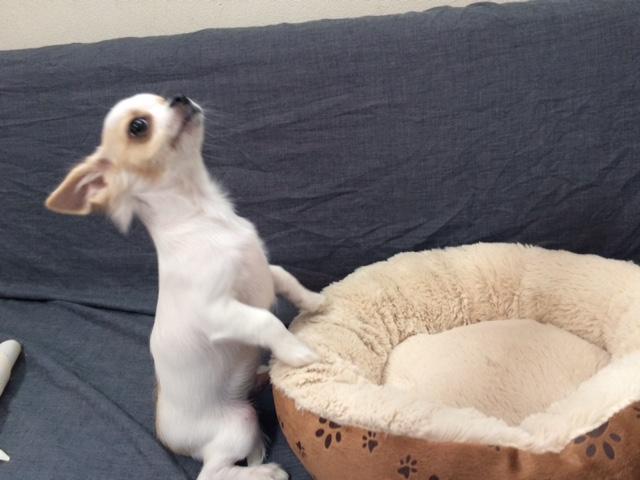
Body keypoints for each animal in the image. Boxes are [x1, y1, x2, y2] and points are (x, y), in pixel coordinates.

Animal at [46, 94, 323, 480]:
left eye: (162, 98)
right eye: (138, 127)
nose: (180, 97)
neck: (205, 214)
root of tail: (167, 437)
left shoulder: (265, 270)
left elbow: (285, 278)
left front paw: (315, 302)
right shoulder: (219, 313)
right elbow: (265, 321)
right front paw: (298, 352)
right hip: (239, 422)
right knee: (213, 473)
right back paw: (263, 472)